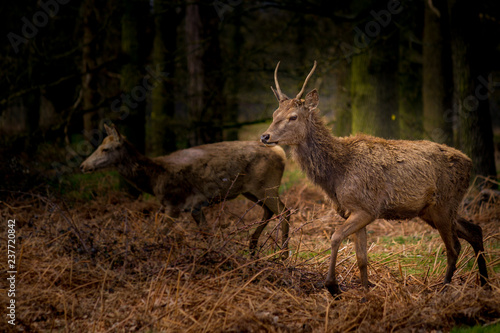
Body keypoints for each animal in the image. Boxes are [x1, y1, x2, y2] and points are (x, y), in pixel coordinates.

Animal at [262, 61, 488, 294]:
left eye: (293, 116)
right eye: (274, 113)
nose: (265, 136)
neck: (337, 174)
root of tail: (469, 164)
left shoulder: (367, 208)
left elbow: (335, 237)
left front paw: (332, 286)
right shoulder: (354, 211)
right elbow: (362, 258)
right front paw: (365, 293)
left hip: (444, 204)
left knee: (454, 248)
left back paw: (444, 287)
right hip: (432, 210)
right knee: (475, 231)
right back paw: (485, 283)